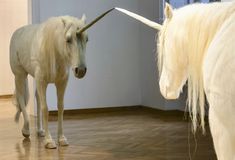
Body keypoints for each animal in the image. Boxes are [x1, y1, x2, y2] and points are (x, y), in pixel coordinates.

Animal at [9, 8, 114, 149]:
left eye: (87, 39)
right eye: (68, 39)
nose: (81, 70)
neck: (53, 48)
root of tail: (17, 32)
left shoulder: (61, 82)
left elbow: (60, 107)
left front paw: (61, 139)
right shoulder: (42, 81)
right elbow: (45, 108)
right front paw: (49, 141)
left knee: (37, 98)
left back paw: (40, 131)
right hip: (20, 75)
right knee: (21, 98)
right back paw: (26, 130)